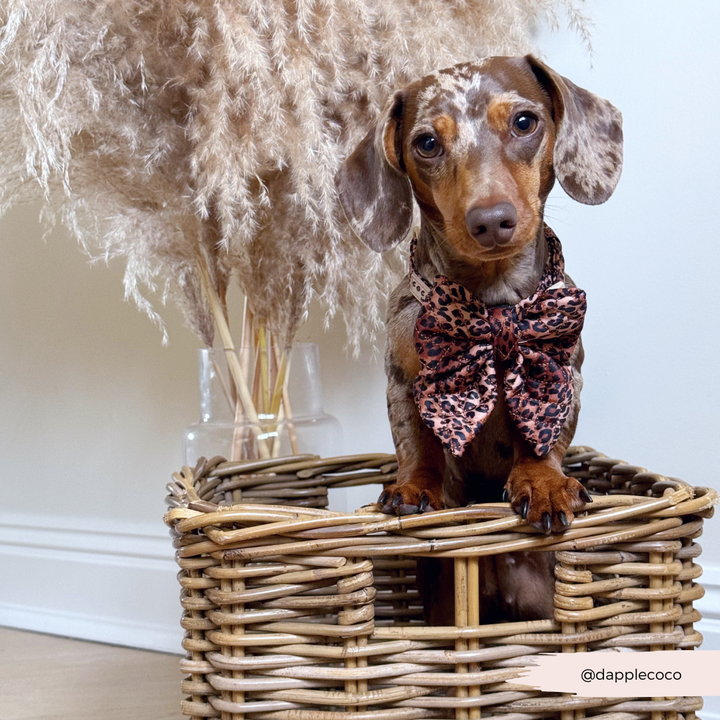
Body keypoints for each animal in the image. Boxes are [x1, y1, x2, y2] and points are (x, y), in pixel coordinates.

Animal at [334, 54, 620, 620]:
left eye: (525, 122)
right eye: (426, 143)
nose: (491, 220)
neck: (491, 302)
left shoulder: (562, 375)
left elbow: (545, 435)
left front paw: (543, 483)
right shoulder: (403, 382)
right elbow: (417, 444)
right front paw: (413, 488)